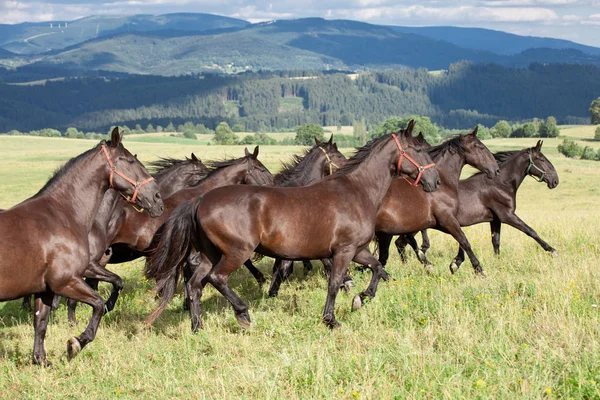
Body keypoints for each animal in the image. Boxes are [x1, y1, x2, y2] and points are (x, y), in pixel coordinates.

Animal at [0, 128, 164, 366]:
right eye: (130, 161)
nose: (158, 199)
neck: (63, 214)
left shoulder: (48, 287)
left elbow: (41, 323)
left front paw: (41, 360)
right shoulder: (66, 281)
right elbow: (97, 303)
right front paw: (76, 343)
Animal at [143, 119, 438, 332]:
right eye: (419, 151)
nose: (434, 181)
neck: (357, 190)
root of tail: (200, 199)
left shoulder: (356, 250)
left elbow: (377, 268)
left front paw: (361, 299)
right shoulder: (343, 251)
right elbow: (335, 282)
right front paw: (331, 320)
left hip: (211, 253)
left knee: (195, 284)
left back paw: (197, 327)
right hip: (235, 253)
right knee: (216, 279)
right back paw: (243, 314)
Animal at [376, 127, 496, 276]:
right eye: (481, 147)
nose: (495, 169)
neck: (443, 183)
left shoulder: (441, 222)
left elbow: (460, 240)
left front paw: (455, 263)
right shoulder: (446, 220)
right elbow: (464, 241)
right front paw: (478, 270)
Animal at [400, 140, 560, 272]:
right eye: (541, 159)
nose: (555, 180)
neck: (500, 184)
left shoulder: (495, 220)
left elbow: (495, 242)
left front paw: (496, 262)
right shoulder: (507, 215)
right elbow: (530, 231)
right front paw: (552, 251)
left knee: (401, 242)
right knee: (403, 242)